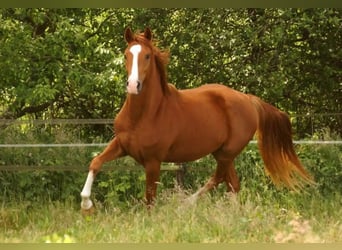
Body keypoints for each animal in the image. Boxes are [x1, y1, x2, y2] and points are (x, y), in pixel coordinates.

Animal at [80, 27, 312, 213]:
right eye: (126, 55)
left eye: (147, 56)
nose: (133, 85)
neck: (144, 115)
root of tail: (248, 99)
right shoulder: (121, 145)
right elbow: (95, 162)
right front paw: (86, 205)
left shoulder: (153, 161)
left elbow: (150, 198)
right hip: (222, 153)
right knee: (232, 184)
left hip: (227, 153)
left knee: (219, 178)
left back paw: (186, 204)